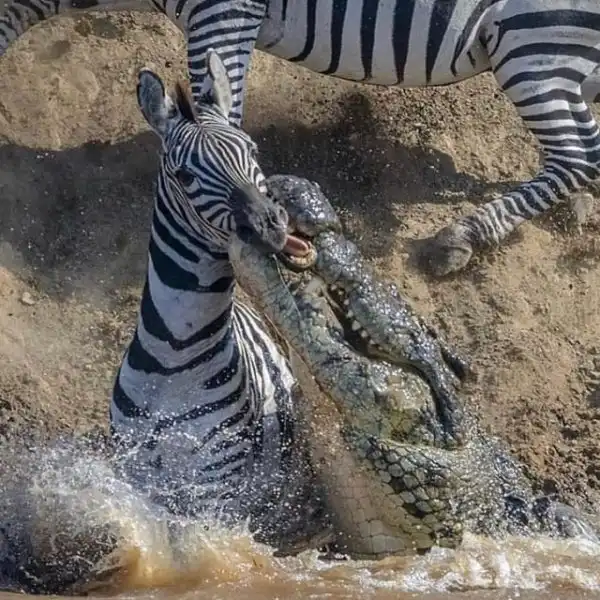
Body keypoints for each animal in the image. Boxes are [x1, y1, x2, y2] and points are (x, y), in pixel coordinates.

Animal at [1, 2, 600, 275]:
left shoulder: (226, 11)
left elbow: (220, 106)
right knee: (588, 152)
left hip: (536, 41)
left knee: (572, 157)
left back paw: (463, 235)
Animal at [109, 47, 326, 548]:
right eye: (185, 175)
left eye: (253, 151)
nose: (273, 224)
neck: (172, 363)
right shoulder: (137, 482)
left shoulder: (213, 489)